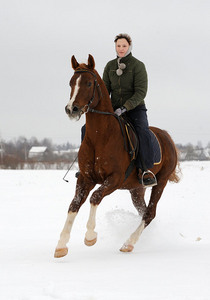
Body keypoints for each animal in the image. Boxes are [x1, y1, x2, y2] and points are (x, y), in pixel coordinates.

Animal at [53, 54, 179, 258]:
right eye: (71, 82)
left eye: (89, 83)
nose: (71, 109)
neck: (100, 136)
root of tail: (167, 136)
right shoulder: (85, 178)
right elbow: (74, 205)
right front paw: (61, 245)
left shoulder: (115, 179)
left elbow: (95, 197)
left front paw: (90, 236)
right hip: (136, 189)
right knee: (143, 211)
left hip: (161, 182)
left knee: (150, 213)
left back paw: (129, 243)